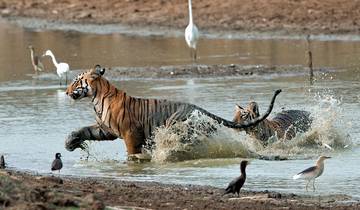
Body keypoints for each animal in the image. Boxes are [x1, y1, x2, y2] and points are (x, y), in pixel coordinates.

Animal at [65, 65, 282, 156]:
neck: (96, 99)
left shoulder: (130, 132)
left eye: (76, 81)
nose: (66, 92)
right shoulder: (106, 129)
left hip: (175, 125)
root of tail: (199, 109)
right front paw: (70, 142)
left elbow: (132, 152)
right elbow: (85, 130)